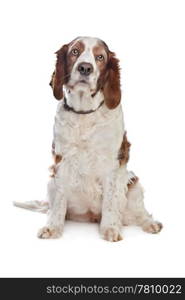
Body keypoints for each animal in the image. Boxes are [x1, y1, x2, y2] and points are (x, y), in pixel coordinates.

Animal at [14, 36, 162, 241]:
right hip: (51, 183)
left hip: (134, 184)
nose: (85, 68)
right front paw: (53, 228)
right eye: (74, 52)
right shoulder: (62, 161)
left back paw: (150, 224)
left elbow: (110, 202)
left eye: (100, 57)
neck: (84, 113)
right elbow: (58, 202)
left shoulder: (111, 164)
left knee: (139, 213)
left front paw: (110, 229)